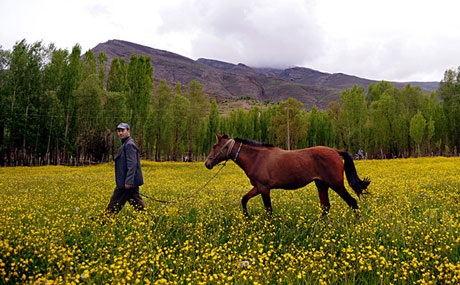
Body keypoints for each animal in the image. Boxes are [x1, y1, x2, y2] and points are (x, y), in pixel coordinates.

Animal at [205, 134, 370, 216]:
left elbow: (269, 211)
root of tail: (335, 151)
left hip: (336, 184)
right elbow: (244, 199)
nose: (207, 163)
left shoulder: (264, 189)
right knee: (325, 207)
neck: (257, 157)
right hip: (321, 184)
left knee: (352, 202)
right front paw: (247, 218)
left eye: (214, 146)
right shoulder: (258, 187)